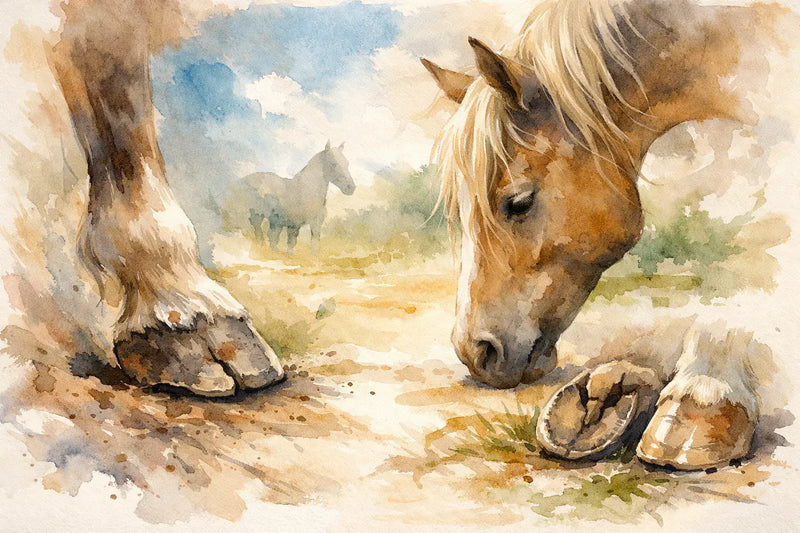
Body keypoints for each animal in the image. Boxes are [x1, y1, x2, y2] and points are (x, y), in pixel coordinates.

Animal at [222, 142, 355, 255]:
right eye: (333, 163)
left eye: (347, 163)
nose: (351, 187)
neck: (307, 190)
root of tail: (243, 179)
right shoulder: (294, 223)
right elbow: (291, 242)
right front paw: (290, 255)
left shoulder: (315, 223)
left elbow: (314, 243)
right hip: (257, 214)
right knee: (258, 230)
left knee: (269, 235)